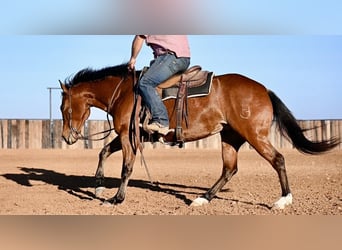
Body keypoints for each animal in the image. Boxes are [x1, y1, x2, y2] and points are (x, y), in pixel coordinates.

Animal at [59, 63, 340, 209]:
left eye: (64, 108)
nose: (66, 138)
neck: (125, 92)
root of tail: (263, 89)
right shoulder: (126, 135)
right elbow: (103, 151)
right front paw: (97, 186)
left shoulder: (129, 138)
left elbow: (126, 167)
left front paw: (116, 199)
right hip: (230, 137)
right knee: (229, 169)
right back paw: (203, 198)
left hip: (254, 136)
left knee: (278, 159)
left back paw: (283, 200)